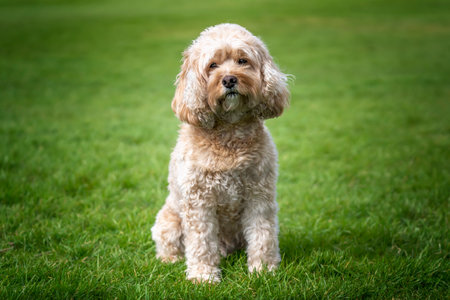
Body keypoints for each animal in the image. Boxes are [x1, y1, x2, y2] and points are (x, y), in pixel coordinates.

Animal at [151, 23, 290, 284]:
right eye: (212, 65)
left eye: (242, 60)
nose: (229, 79)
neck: (229, 134)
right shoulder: (198, 202)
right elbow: (201, 242)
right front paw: (203, 276)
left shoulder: (259, 195)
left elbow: (263, 234)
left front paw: (263, 269)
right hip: (169, 221)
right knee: (169, 244)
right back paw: (170, 260)